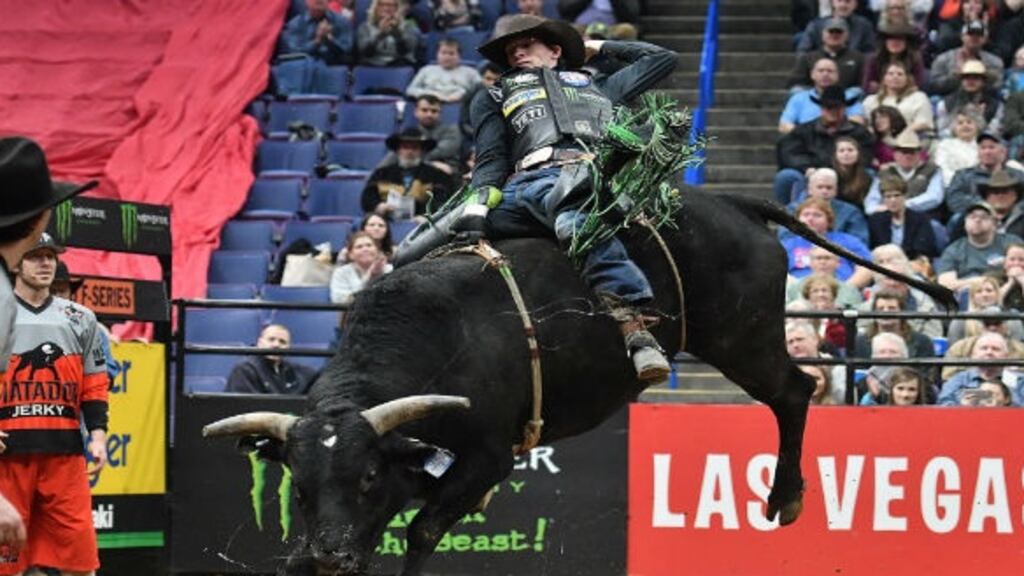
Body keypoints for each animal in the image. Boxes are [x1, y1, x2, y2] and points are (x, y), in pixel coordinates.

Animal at [204, 190, 956, 576]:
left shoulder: (487, 456)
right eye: (299, 484)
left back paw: (786, 496)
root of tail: (728, 200)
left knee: (795, 391)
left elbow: (420, 531)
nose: (330, 557)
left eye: (364, 476)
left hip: (741, 338)